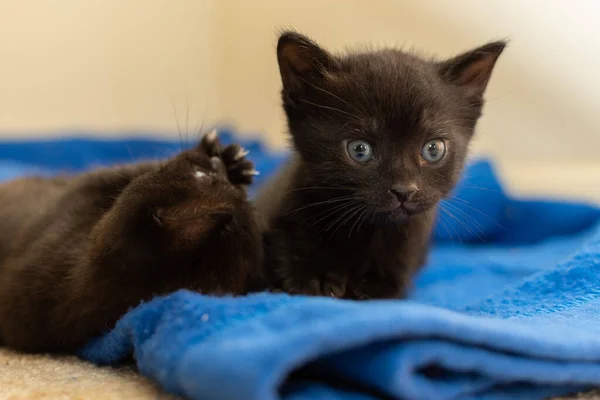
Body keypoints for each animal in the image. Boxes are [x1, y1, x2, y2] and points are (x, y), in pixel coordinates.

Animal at [255, 31, 504, 298]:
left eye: (433, 149)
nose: (404, 191)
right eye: (359, 150)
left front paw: (369, 286)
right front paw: (314, 279)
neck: (364, 232)